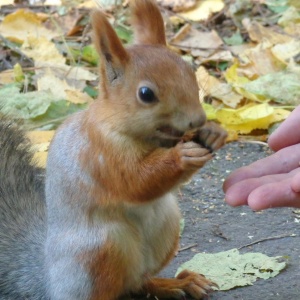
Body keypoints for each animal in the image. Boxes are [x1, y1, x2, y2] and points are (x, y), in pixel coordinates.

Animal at [0, 0, 226, 300]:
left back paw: (178, 284)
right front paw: (183, 156)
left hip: (167, 226)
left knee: (138, 282)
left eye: (190, 71)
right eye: (146, 94)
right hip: (99, 251)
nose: (198, 119)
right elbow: (135, 182)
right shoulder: (99, 152)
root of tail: (50, 280)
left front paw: (213, 133)